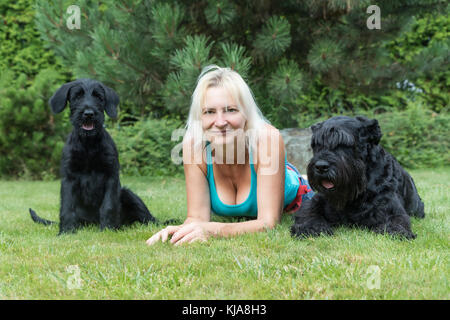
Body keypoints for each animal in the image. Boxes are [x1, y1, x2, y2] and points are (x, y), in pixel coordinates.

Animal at [28, 79, 158, 234]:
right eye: (77, 96)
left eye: (98, 97)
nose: (89, 113)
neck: (88, 144)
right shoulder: (69, 178)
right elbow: (67, 206)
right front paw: (66, 231)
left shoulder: (111, 176)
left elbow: (108, 205)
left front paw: (108, 229)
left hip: (128, 194)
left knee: (149, 218)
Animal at [292, 116, 426, 239]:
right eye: (317, 145)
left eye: (343, 144)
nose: (321, 166)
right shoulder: (316, 201)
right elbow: (309, 212)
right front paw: (310, 227)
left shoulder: (390, 208)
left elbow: (395, 220)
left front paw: (396, 231)